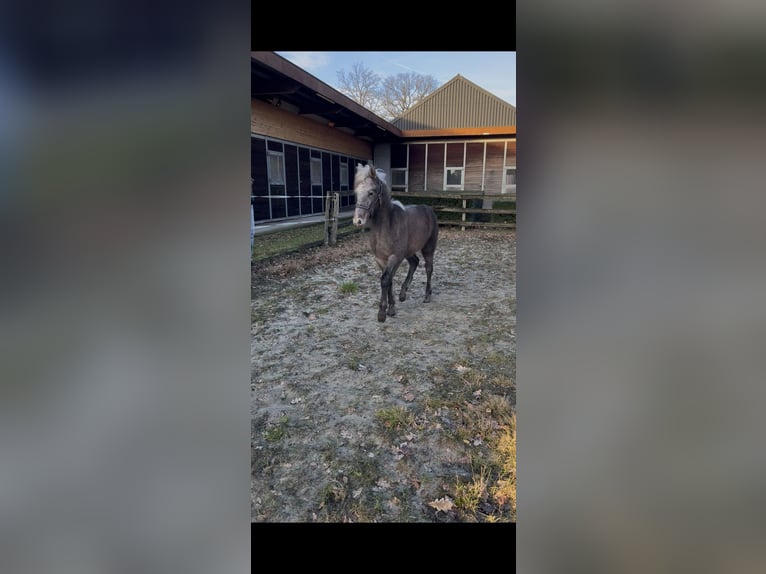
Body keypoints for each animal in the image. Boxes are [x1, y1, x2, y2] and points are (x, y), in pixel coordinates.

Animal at [352, 163, 439, 322]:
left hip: (428, 248)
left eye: (371, 193)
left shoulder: (395, 257)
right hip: (409, 251)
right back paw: (403, 294)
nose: (358, 220)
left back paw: (427, 296)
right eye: (356, 193)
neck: (386, 226)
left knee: (429, 268)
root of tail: (428, 209)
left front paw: (382, 312)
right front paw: (391, 308)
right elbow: (389, 280)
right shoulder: (380, 259)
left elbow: (386, 279)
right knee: (414, 262)